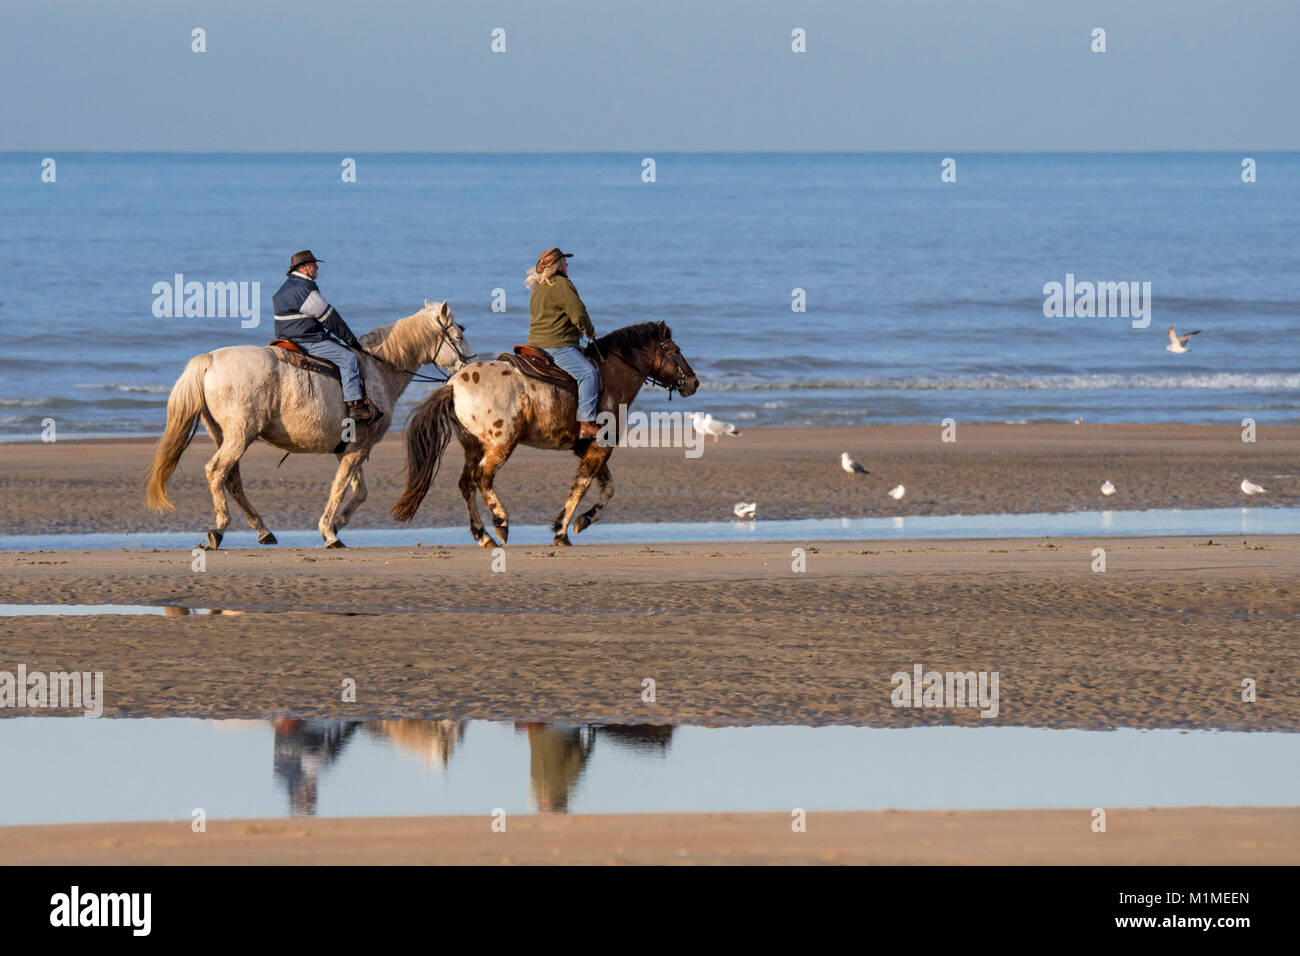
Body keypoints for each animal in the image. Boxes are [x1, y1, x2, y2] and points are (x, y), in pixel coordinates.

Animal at [147, 303, 473, 548]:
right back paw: (218, 529)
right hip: (240, 436)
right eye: (457, 334)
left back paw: (263, 530)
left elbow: (359, 491)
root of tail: (210, 360)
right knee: (216, 472)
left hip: (224, 435)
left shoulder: (352, 448)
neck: (377, 369)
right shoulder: (357, 450)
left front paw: (338, 524)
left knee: (232, 479)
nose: (469, 365)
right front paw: (330, 532)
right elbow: (339, 488)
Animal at [392, 321, 702, 546]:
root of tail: (453, 385)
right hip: (501, 445)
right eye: (674, 349)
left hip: (473, 446)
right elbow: (582, 485)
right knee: (483, 478)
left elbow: (607, 488)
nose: (694, 382)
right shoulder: (599, 447)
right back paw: (501, 522)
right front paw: (562, 530)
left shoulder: (587, 447)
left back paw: (483, 535)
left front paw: (583, 520)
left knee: (466, 483)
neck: (611, 375)